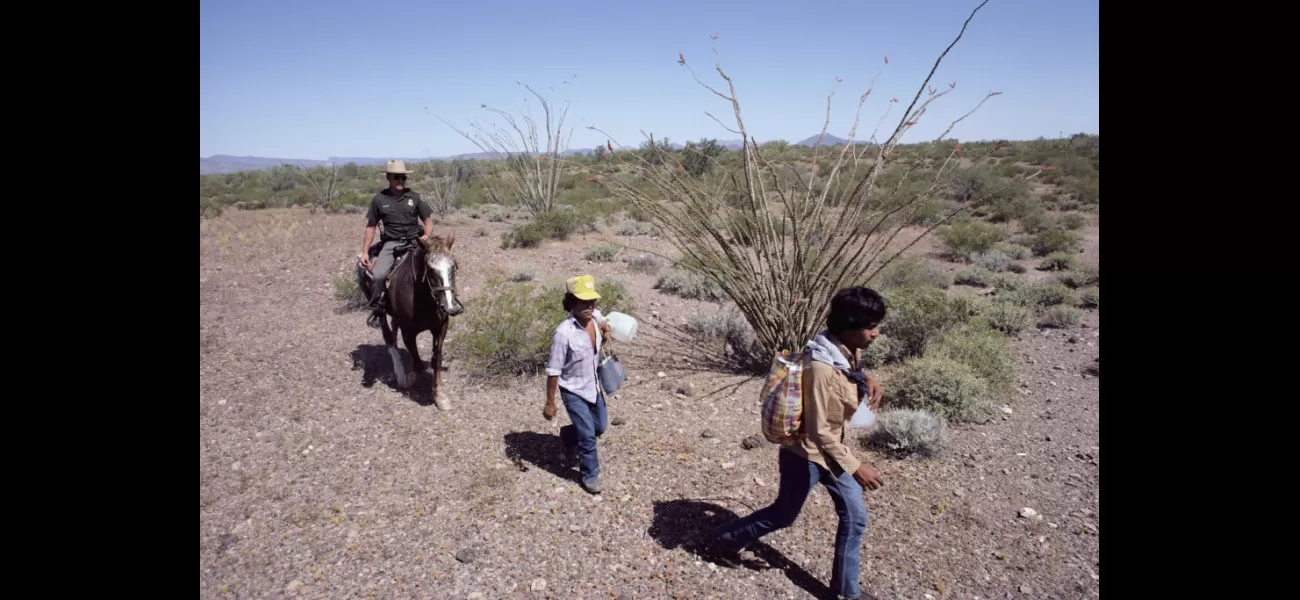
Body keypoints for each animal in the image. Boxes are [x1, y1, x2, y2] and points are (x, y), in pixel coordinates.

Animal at [361, 233, 467, 407]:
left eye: (453, 267)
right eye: (430, 270)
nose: (450, 307)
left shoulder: (440, 328)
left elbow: (436, 360)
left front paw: (439, 395)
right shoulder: (408, 332)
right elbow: (417, 363)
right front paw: (412, 380)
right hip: (381, 313)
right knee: (389, 338)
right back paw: (401, 375)